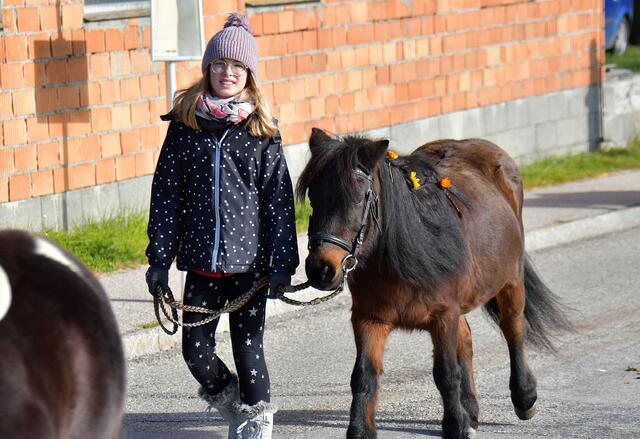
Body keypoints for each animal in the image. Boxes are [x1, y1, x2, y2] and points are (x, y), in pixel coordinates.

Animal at [296, 128, 572, 439]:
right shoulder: (369, 318)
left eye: (358, 198)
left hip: (510, 281)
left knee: (513, 330)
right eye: (314, 198)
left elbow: (445, 373)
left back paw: (524, 397)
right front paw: (360, 430)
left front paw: (454, 427)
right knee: (466, 339)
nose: (321, 269)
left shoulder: (443, 315)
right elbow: (364, 374)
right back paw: (471, 411)